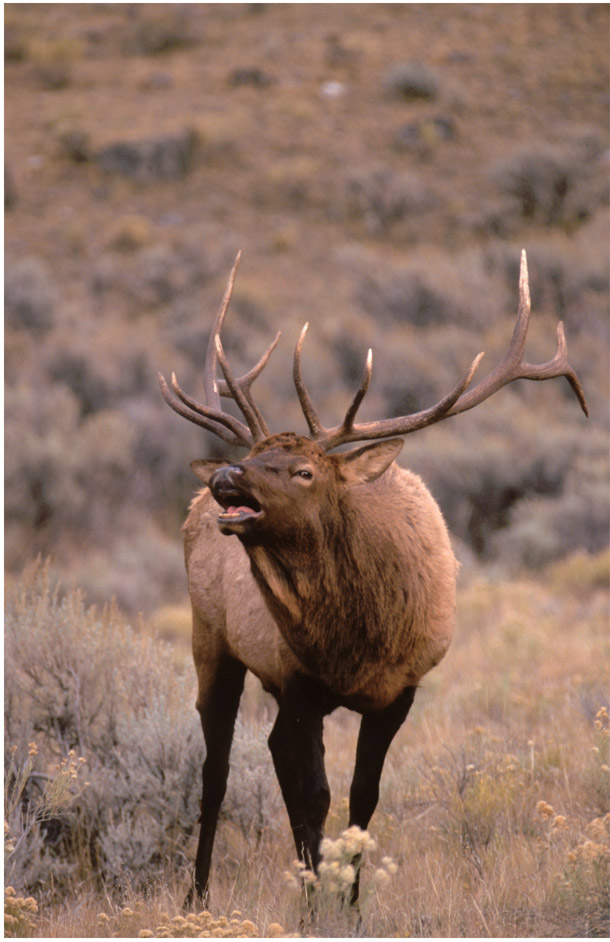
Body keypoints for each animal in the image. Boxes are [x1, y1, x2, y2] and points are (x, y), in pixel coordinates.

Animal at [159, 251, 588, 908]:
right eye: (256, 455)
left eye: (304, 470)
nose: (227, 475)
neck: (354, 642)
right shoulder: (300, 679)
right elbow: (314, 796)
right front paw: (316, 905)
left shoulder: (401, 689)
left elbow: (363, 798)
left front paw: (351, 904)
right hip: (211, 638)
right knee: (217, 766)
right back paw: (198, 896)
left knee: (268, 756)